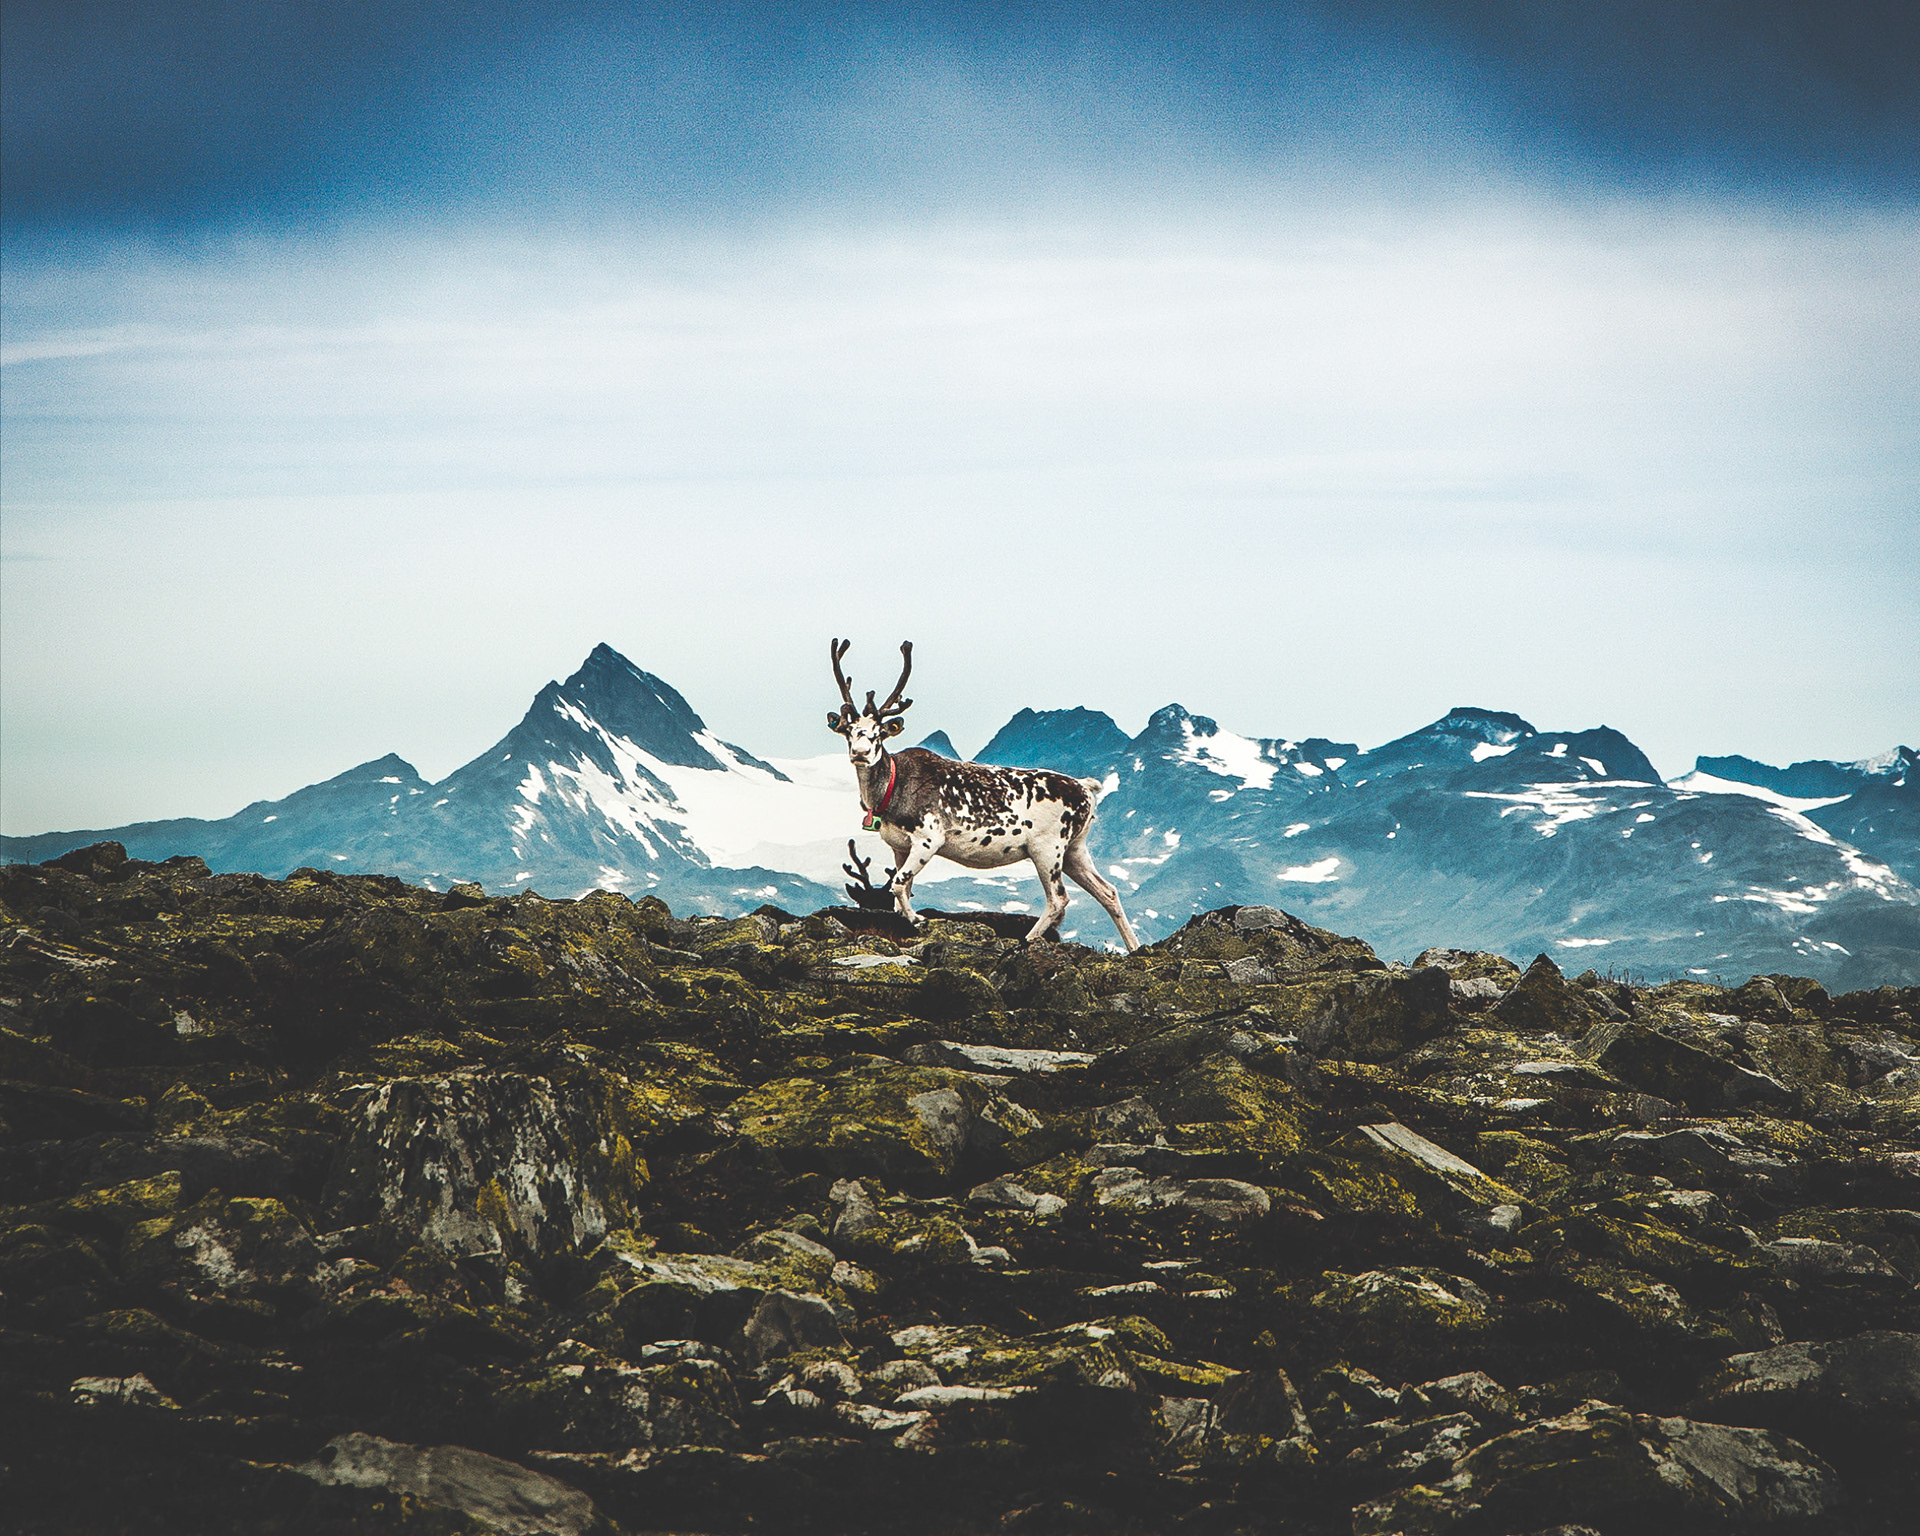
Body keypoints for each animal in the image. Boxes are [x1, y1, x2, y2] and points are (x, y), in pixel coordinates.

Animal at [826, 638, 1142, 952]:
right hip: (1075, 848)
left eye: (879, 733)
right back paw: (1134, 946)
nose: (861, 753)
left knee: (1058, 898)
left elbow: (899, 885)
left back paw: (1026, 940)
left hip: (1047, 846)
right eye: (849, 732)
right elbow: (901, 891)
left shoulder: (929, 838)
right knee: (1108, 891)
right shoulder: (899, 846)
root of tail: (1086, 787)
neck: (889, 793)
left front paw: (919, 920)